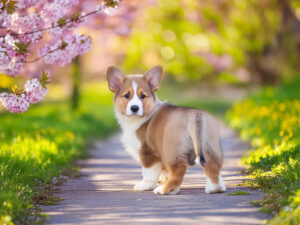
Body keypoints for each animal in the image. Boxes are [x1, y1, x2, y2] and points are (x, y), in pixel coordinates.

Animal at [105, 65, 225, 195]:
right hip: (209, 146)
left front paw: (146, 185)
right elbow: (163, 172)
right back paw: (215, 188)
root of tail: (195, 115)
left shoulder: (147, 153)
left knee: (179, 169)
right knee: (212, 165)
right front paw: (161, 180)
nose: (134, 108)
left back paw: (164, 190)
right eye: (127, 95)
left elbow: (148, 172)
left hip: (171, 150)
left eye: (143, 96)